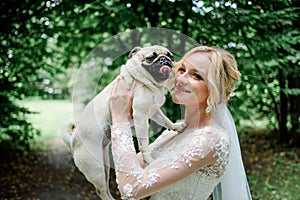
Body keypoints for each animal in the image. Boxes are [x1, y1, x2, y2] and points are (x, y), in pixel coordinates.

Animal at [61, 45, 185, 200]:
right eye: (151, 57)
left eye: (171, 57)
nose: (164, 60)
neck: (148, 83)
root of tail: (73, 139)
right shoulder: (140, 116)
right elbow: (144, 143)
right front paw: (148, 159)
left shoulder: (154, 112)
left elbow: (166, 121)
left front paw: (177, 127)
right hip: (95, 169)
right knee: (101, 191)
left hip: (105, 165)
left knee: (106, 187)